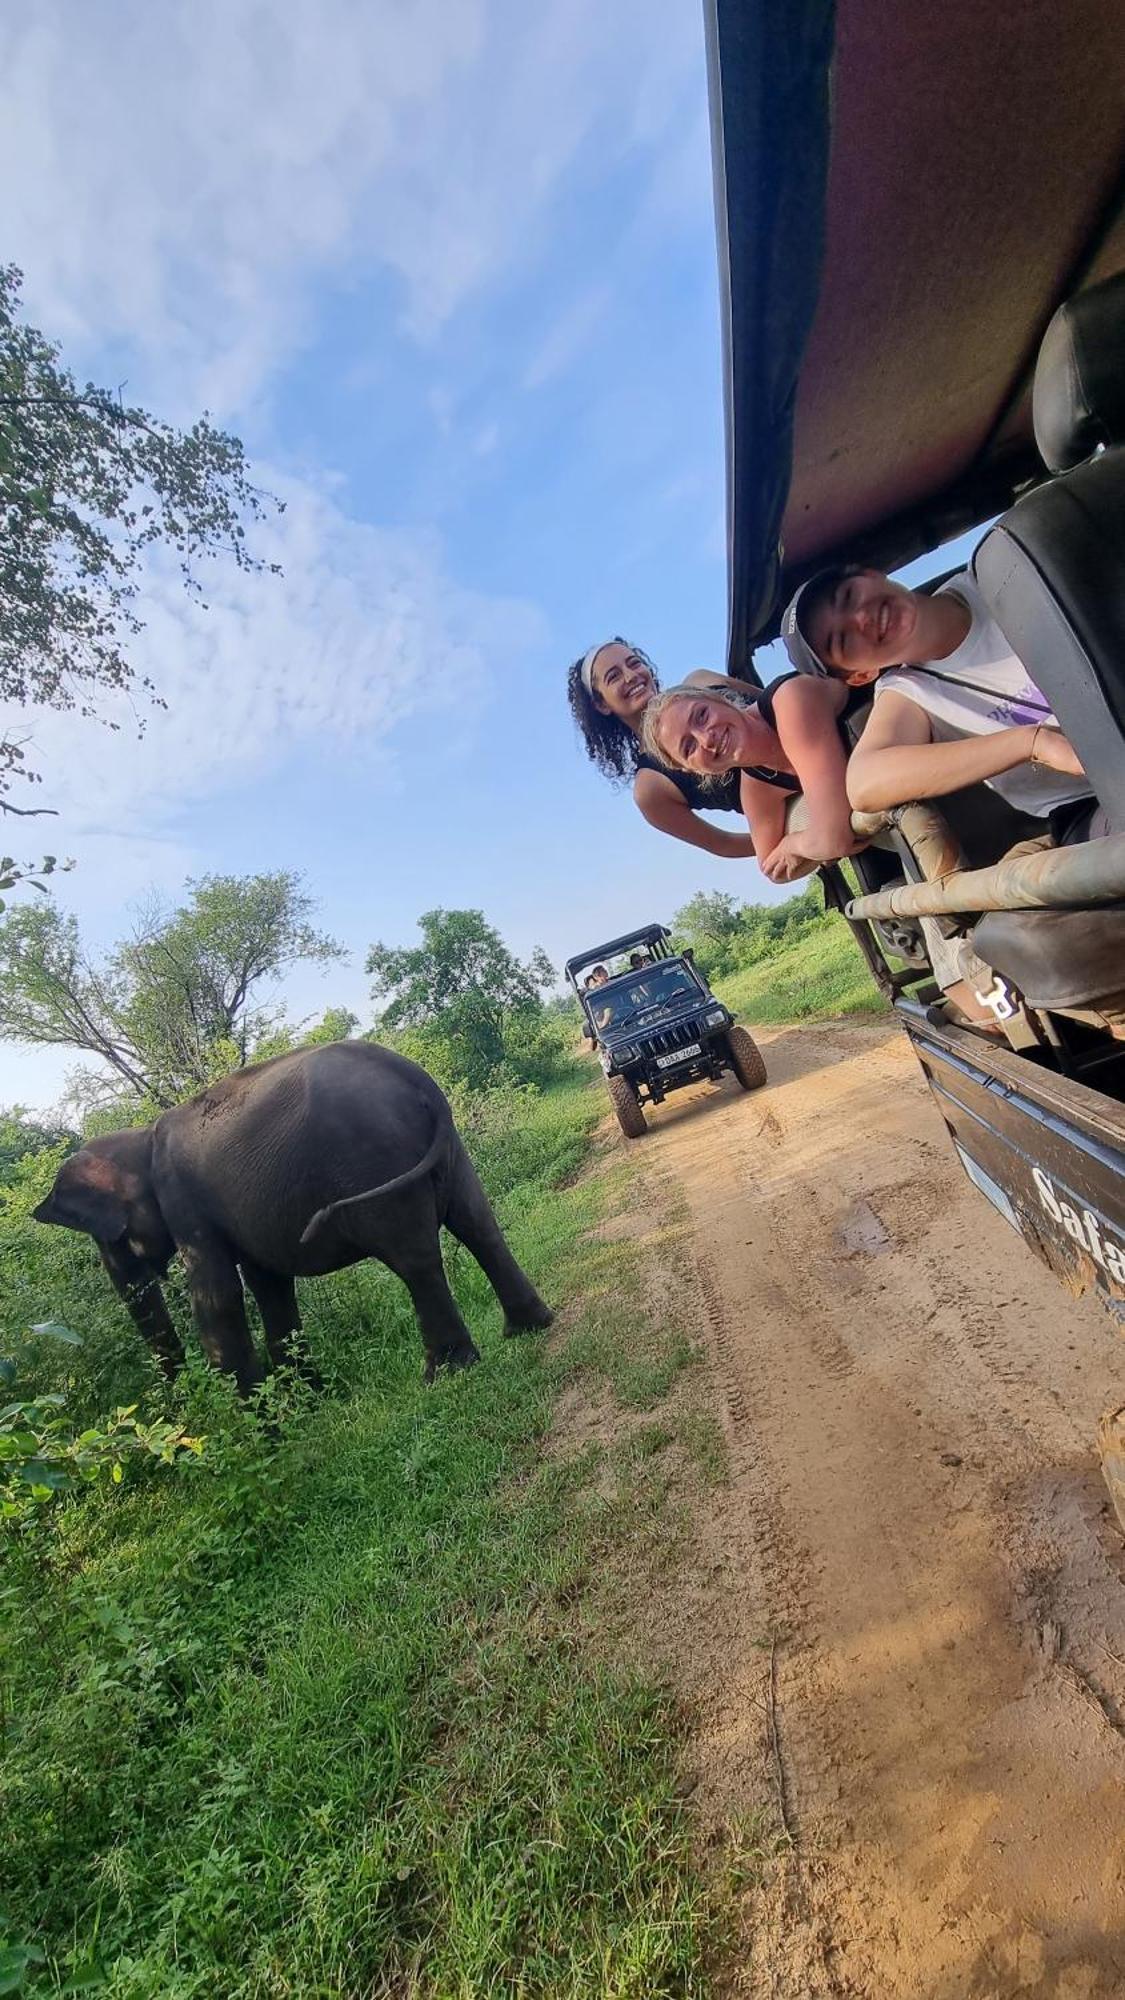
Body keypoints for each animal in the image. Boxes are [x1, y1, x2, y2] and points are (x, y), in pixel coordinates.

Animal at [37, 1040, 552, 1400]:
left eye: (114, 1238)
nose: (182, 1403)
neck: (140, 1138)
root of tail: (416, 1078)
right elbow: (269, 1285)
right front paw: (307, 1400)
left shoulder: (186, 1205)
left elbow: (218, 1297)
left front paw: (256, 1428)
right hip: (446, 1154)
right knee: (478, 1224)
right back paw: (527, 1328)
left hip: (375, 1161)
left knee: (414, 1259)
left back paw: (444, 1374)